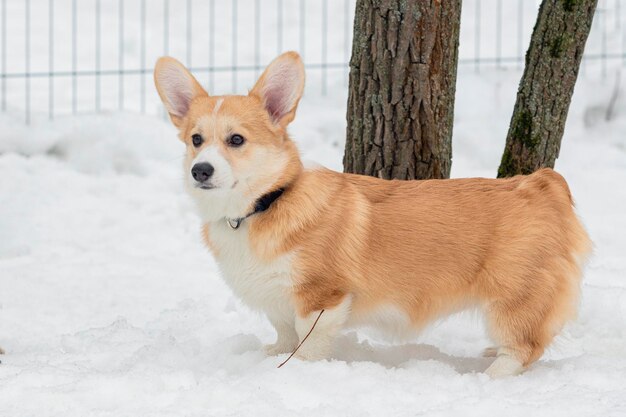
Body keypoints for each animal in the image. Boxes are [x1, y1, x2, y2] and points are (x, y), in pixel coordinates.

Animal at [155, 52, 588, 376]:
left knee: (523, 347)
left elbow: (306, 343)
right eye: (196, 140)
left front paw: (297, 371)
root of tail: (540, 183)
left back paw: (489, 375)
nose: (200, 171)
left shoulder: (321, 299)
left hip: (512, 296)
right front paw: (269, 357)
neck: (265, 203)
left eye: (236, 140)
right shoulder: (276, 299)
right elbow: (283, 334)